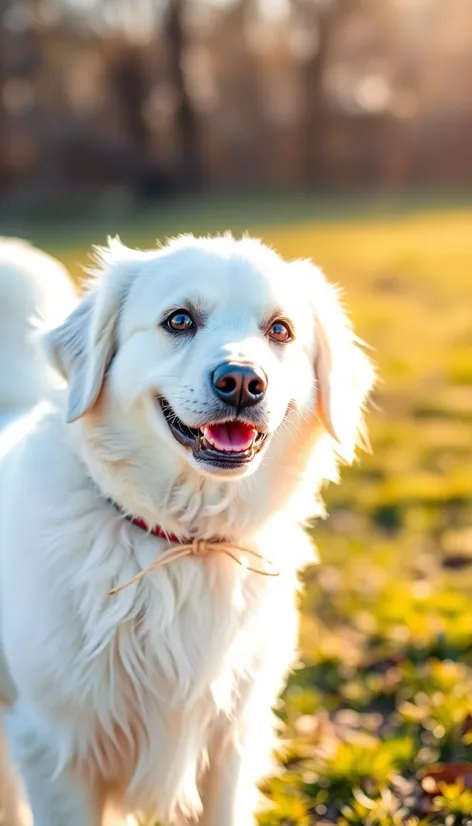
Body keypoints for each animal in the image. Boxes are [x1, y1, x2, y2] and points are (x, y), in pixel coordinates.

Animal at [0, 233, 372, 824]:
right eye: (178, 320)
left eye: (280, 330)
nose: (242, 382)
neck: (181, 541)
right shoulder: (58, 747)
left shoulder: (231, 743)